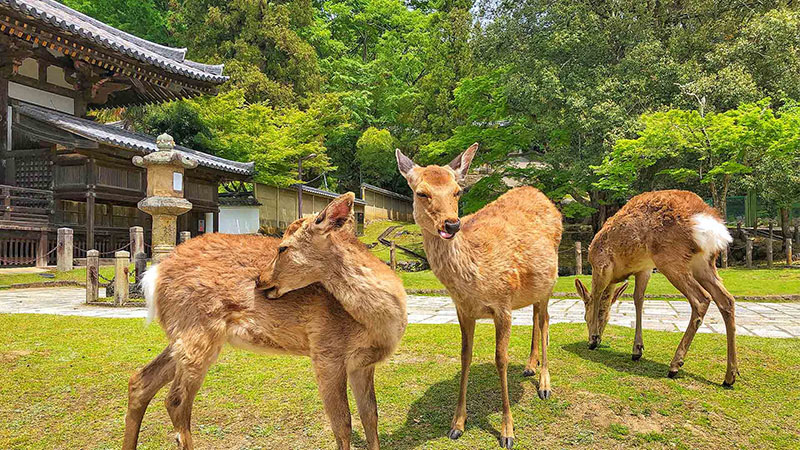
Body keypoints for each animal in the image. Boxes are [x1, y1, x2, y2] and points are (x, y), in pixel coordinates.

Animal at [123, 193, 407, 450]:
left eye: (283, 247)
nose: (259, 279)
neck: (374, 326)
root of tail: (153, 275)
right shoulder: (326, 351)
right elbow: (342, 423)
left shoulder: (363, 364)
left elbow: (371, 416)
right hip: (198, 331)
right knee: (176, 401)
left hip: (183, 335)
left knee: (140, 381)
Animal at [395, 144, 563, 449]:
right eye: (421, 192)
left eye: (457, 192)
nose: (451, 225)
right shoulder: (463, 309)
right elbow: (465, 355)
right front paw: (456, 425)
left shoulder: (503, 304)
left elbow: (501, 359)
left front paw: (507, 432)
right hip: (534, 288)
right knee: (536, 316)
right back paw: (530, 367)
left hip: (550, 282)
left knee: (545, 320)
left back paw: (544, 384)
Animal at [574, 189, 738, 387]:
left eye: (583, 317)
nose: (595, 339)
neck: (617, 276)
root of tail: (710, 223)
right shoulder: (644, 269)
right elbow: (638, 299)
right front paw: (636, 349)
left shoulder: (601, 266)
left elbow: (597, 296)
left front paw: (593, 339)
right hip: (703, 263)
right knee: (727, 300)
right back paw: (730, 376)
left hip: (670, 258)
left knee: (701, 299)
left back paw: (675, 365)